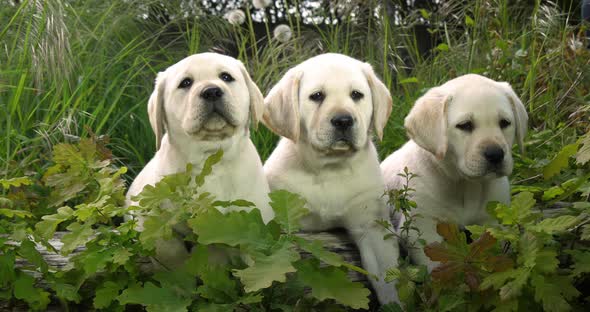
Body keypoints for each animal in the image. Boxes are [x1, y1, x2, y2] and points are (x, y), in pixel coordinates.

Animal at [127, 53, 276, 268]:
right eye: (186, 83)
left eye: (226, 77)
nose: (212, 91)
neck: (211, 157)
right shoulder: (145, 211)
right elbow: (166, 246)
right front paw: (179, 269)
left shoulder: (258, 214)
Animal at [264, 53, 400, 302]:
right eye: (317, 96)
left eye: (356, 95)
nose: (343, 120)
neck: (329, 168)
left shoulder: (372, 227)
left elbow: (388, 281)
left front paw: (394, 303)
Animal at [384, 73, 532, 270]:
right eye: (465, 125)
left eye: (505, 123)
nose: (495, 154)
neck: (466, 185)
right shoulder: (422, 227)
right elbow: (435, 264)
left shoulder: (492, 222)